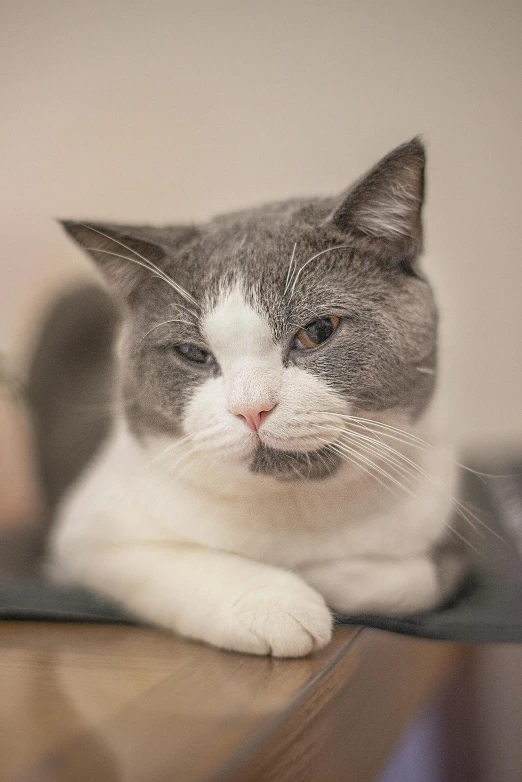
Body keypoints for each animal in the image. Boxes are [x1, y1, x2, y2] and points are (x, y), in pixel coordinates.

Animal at [45, 139, 464, 656]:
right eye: (193, 353)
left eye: (318, 331)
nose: (251, 408)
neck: (291, 508)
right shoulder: (86, 534)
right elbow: (169, 558)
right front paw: (275, 601)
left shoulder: (449, 537)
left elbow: (411, 580)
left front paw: (321, 578)